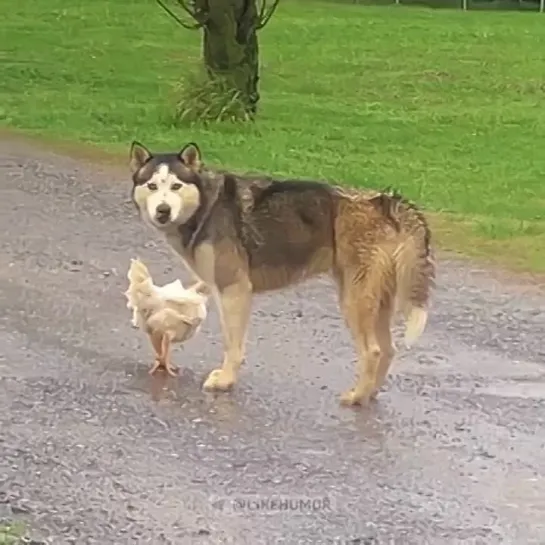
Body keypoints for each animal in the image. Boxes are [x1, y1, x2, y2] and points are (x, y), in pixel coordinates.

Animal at [127, 142, 434, 406]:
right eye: (152, 185)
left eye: (176, 186)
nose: (163, 211)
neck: (206, 205)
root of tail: (384, 201)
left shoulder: (234, 289)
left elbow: (232, 345)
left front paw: (225, 381)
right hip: (376, 300)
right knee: (389, 349)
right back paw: (370, 394)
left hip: (353, 300)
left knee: (373, 351)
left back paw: (357, 397)